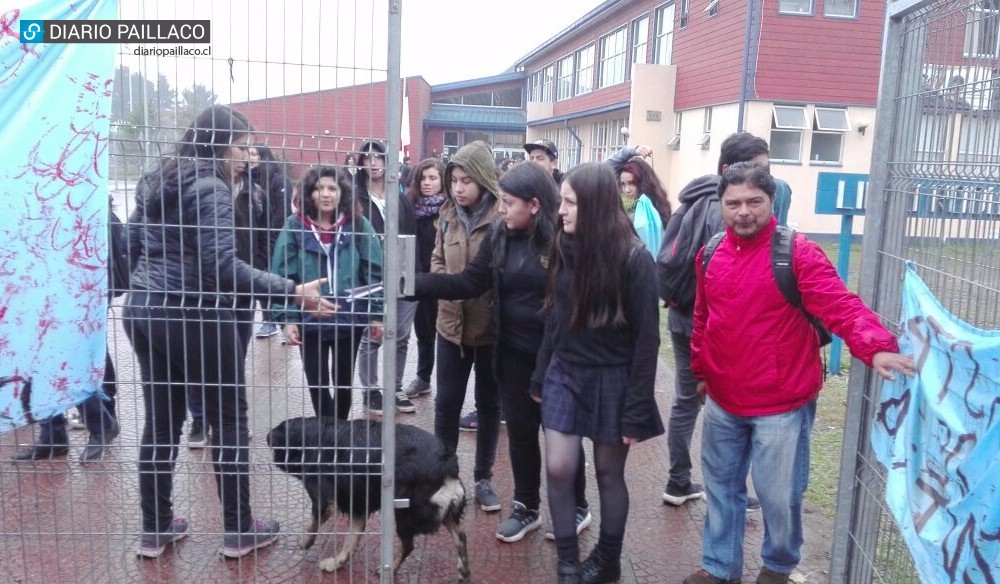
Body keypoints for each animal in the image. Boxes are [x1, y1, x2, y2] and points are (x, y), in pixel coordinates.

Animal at [266, 418, 468, 580]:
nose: (267, 438)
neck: (311, 440)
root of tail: (447, 462)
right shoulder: (357, 505)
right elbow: (350, 541)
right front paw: (338, 562)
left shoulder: (324, 500)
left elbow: (313, 523)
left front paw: (305, 542)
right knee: (461, 537)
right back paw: (463, 569)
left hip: (406, 512)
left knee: (409, 545)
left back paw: (391, 569)